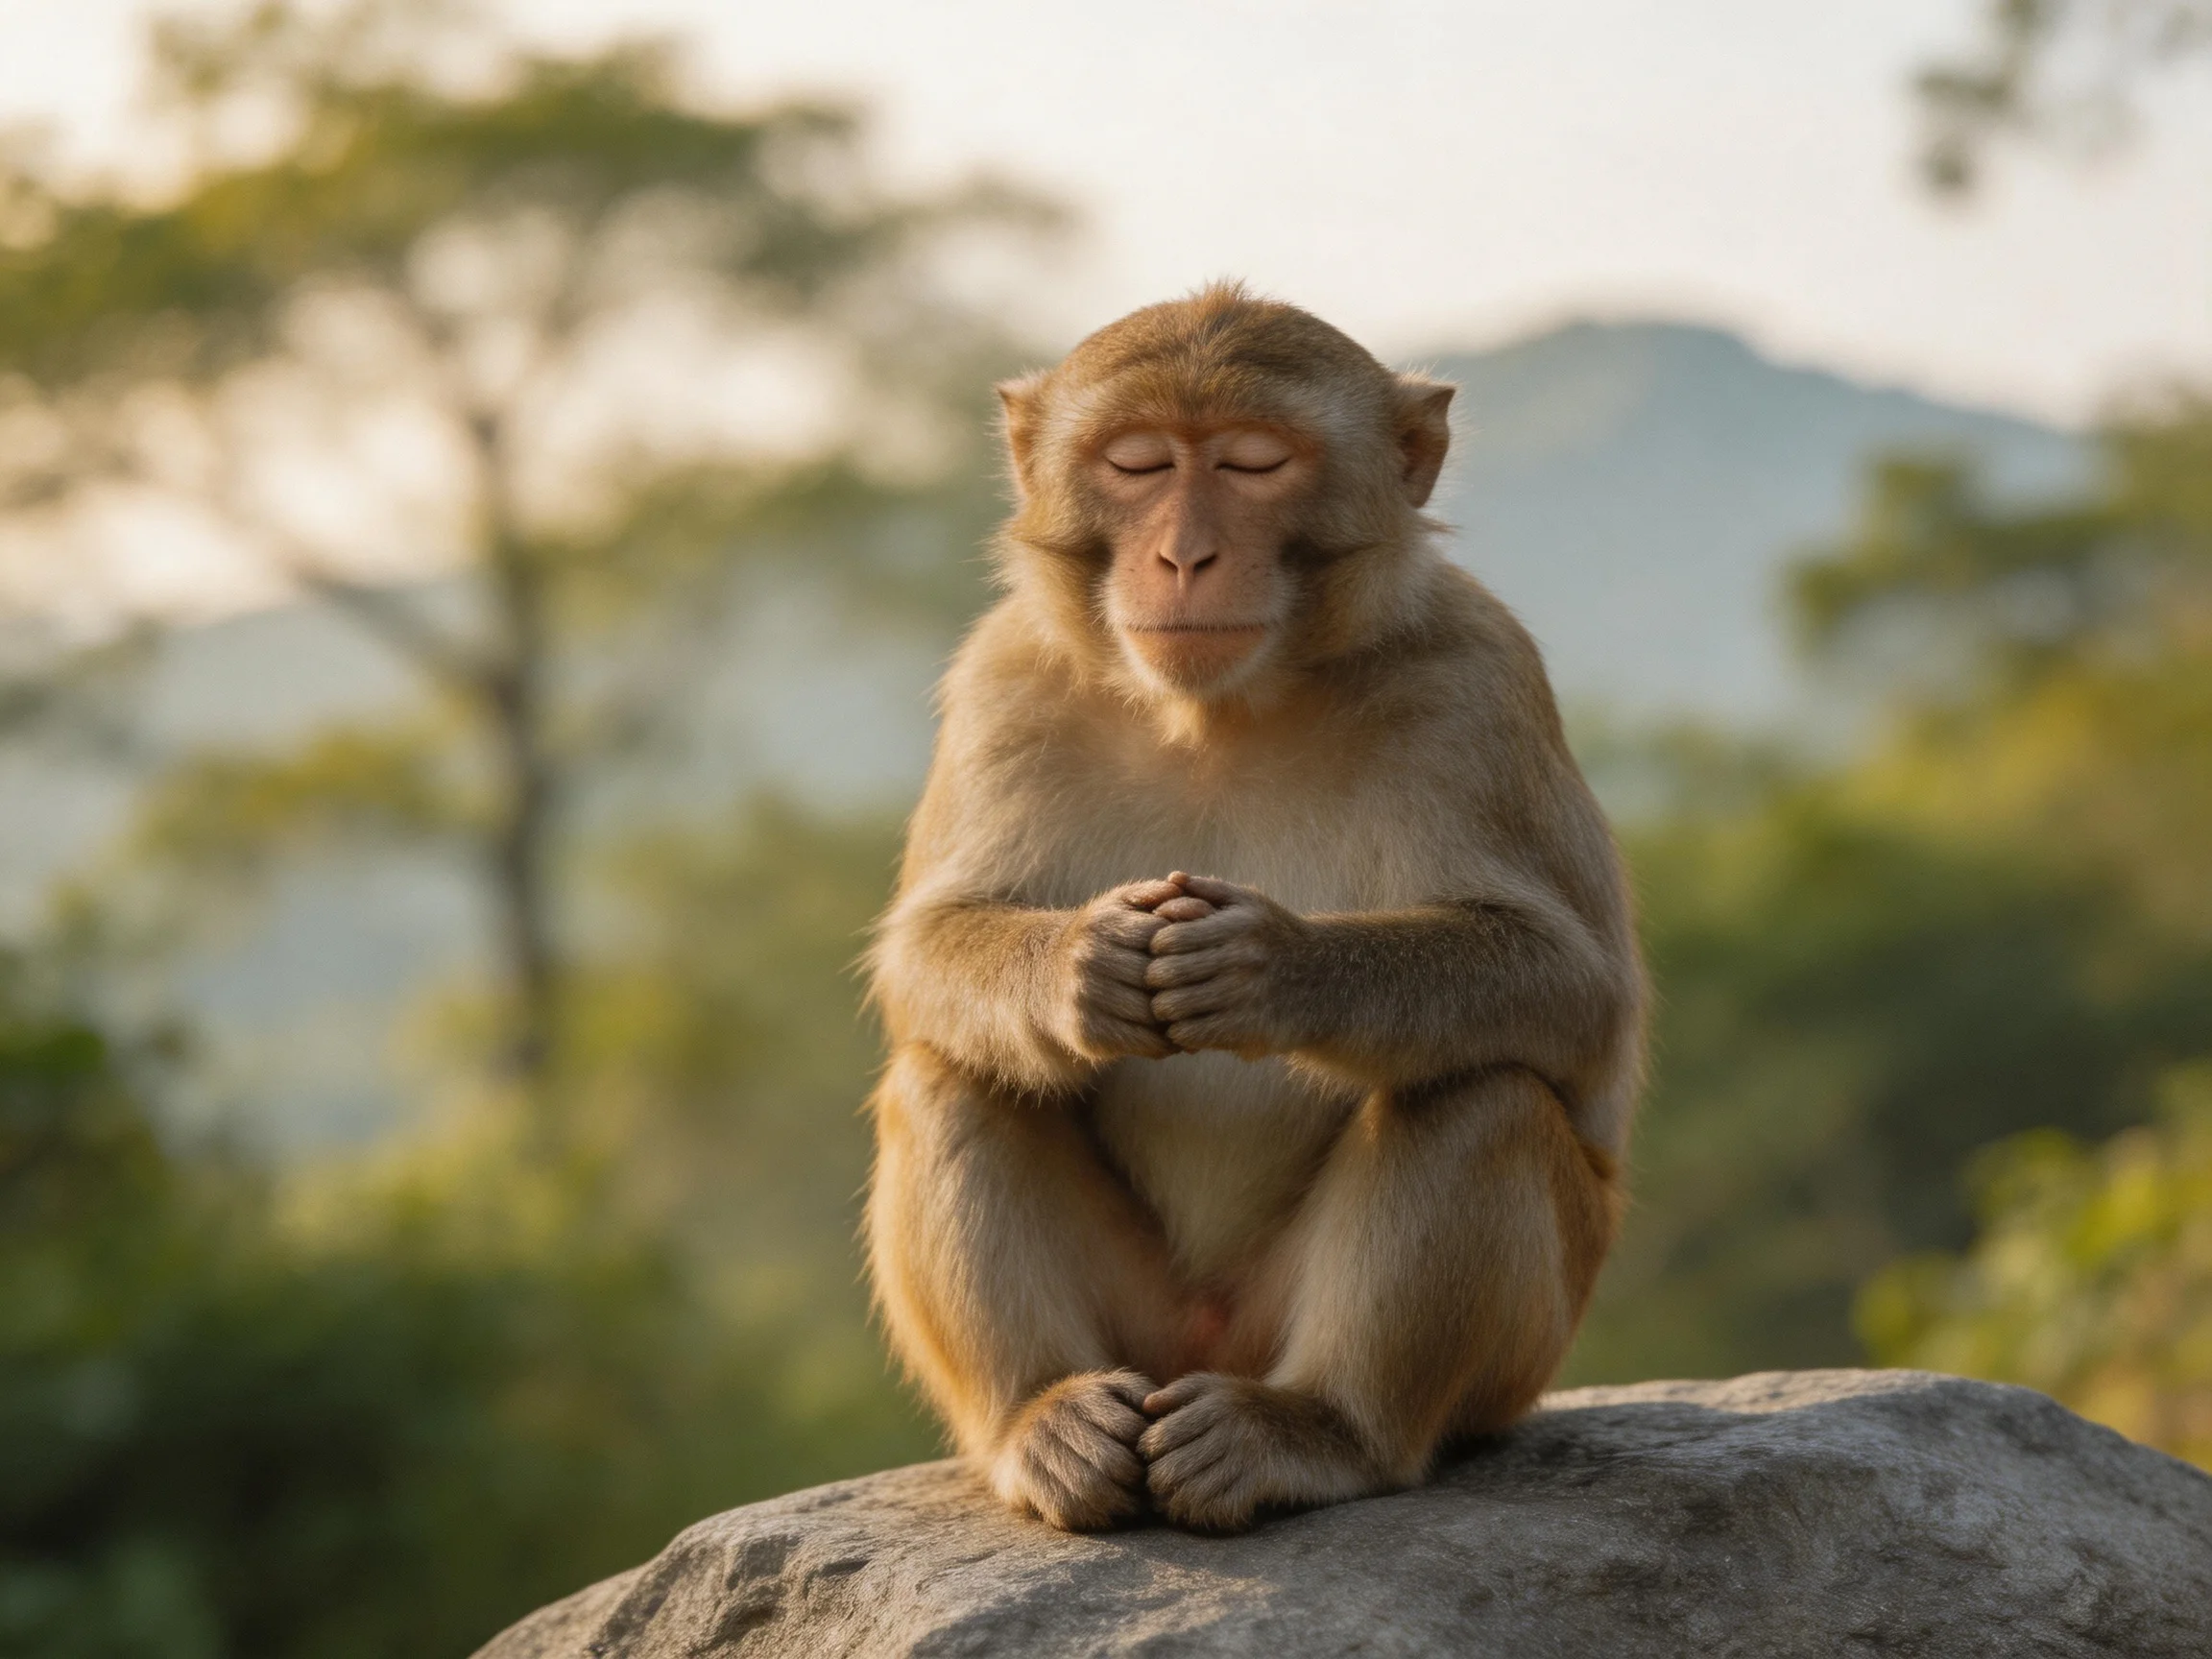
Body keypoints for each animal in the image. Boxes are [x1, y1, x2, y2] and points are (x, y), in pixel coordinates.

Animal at [864, 282, 1644, 1534]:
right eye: (1137, 462)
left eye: (1253, 462)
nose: (1185, 554)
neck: (1221, 709)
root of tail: (1204, 1350)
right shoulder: (1003, 678)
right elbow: (926, 951)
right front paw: (1084, 965)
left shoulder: (1477, 678)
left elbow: (1575, 995)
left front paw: (1271, 969)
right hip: (1144, 1333)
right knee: (953, 1069)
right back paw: (1045, 1423)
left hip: (1497, 1351)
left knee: (1478, 1087)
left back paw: (1322, 1432)